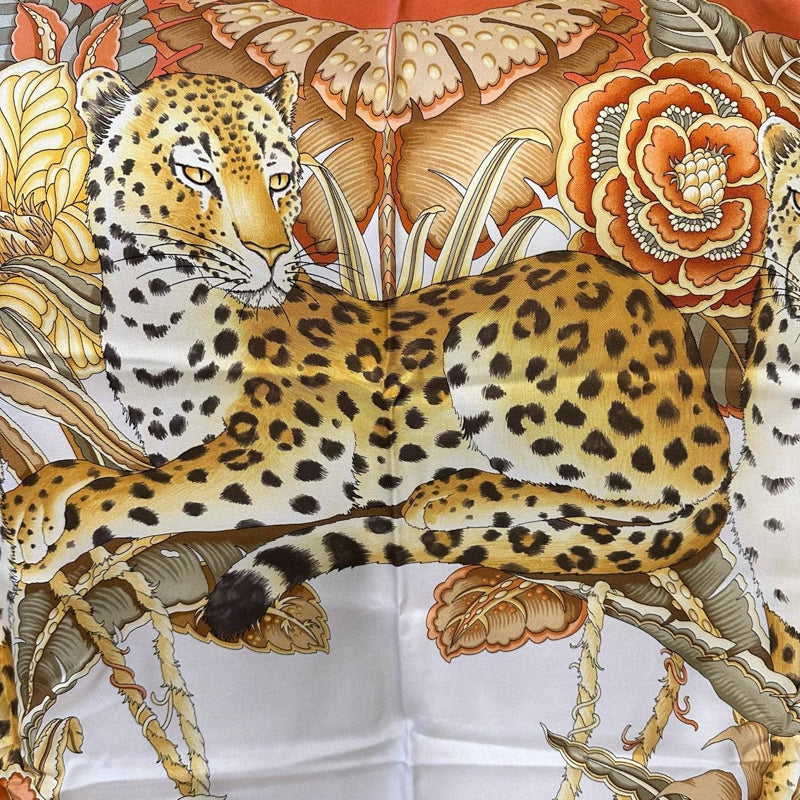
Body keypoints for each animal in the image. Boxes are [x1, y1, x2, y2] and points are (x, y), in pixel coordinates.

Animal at [0, 68, 732, 655]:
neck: (152, 312)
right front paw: (33, 503)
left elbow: (136, 491)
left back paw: (451, 493)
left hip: (488, 345)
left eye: (279, 178)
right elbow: (103, 467)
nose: (275, 255)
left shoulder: (294, 454)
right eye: (196, 173)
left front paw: (50, 535)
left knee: (651, 493)